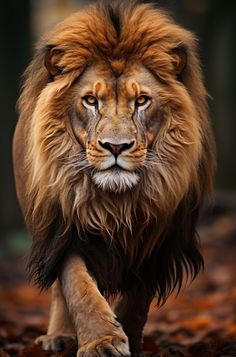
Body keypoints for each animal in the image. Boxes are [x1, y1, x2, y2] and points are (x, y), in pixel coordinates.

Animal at [12, 1, 216, 354]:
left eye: (142, 100)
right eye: (91, 100)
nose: (116, 147)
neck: (117, 202)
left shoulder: (159, 234)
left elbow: (137, 300)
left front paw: (128, 335)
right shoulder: (63, 226)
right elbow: (77, 286)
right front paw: (101, 340)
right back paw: (58, 337)